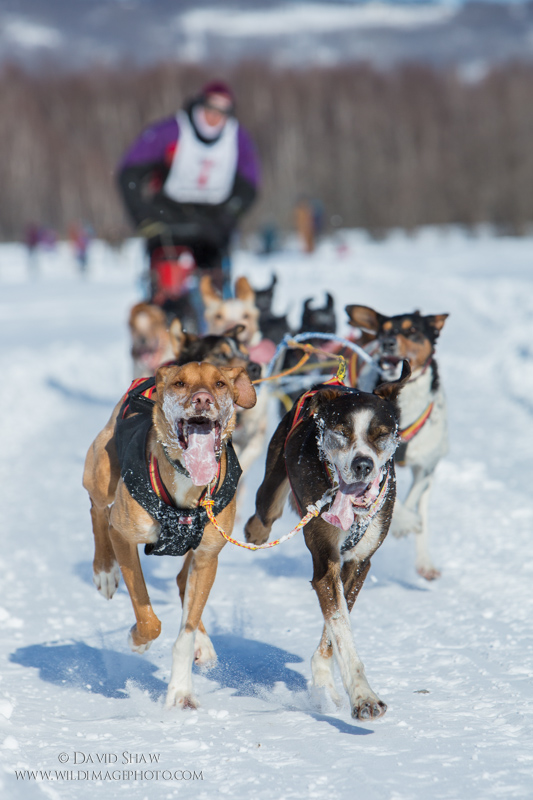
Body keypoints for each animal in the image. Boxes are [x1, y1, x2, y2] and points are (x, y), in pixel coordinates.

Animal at [83, 360, 256, 708]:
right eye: (180, 383)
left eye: (219, 383)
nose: (202, 399)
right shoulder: (123, 537)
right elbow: (148, 618)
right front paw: (137, 641)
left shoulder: (207, 557)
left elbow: (184, 635)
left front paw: (181, 691)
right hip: (99, 474)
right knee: (98, 510)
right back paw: (105, 571)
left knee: (181, 582)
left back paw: (204, 643)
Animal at [243, 366, 410, 720]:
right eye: (342, 431)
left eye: (380, 434)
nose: (363, 464)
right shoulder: (325, 560)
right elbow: (341, 628)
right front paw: (363, 697)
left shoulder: (359, 563)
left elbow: (335, 629)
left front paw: (324, 680)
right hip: (270, 495)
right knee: (263, 515)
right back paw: (255, 531)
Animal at [342, 304, 446, 580]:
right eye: (384, 331)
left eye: (412, 330)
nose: (387, 343)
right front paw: (403, 522)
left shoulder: (426, 465)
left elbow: (412, 498)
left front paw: (407, 524)